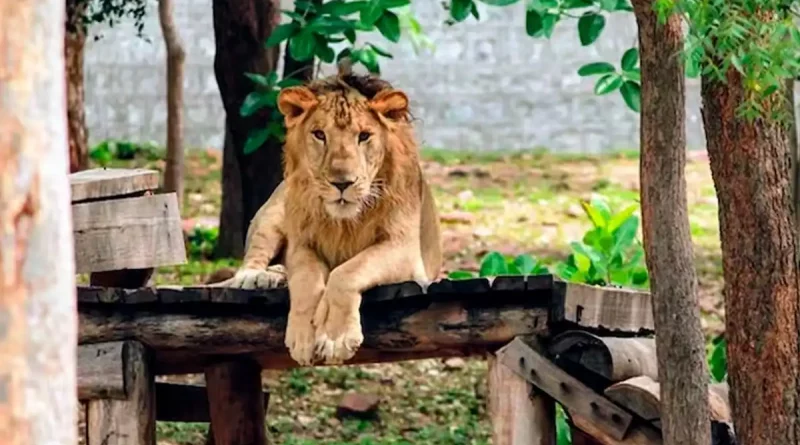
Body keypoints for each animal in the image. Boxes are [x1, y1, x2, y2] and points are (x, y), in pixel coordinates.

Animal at [216, 73, 444, 364]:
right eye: (319, 135)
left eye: (364, 136)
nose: (342, 183)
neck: (344, 223)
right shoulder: (302, 245)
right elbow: (307, 282)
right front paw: (303, 337)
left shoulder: (403, 249)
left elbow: (346, 272)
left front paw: (336, 338)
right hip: (271, 215)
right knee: (253, 256)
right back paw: (258, 276)